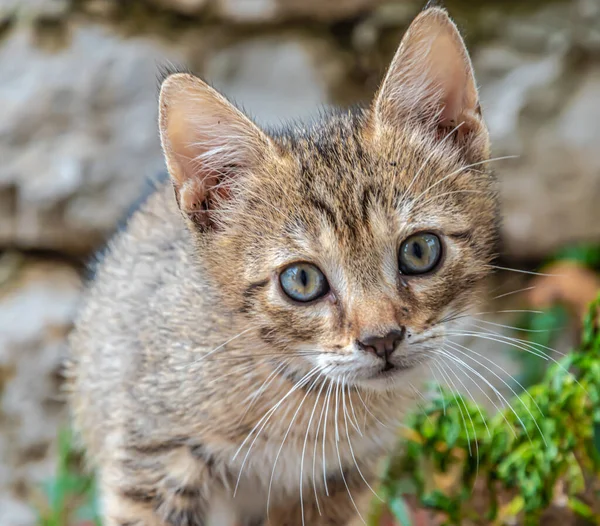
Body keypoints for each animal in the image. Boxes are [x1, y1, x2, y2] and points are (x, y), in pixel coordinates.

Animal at [67, 5, 496, 526]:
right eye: (302, 279)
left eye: (419, 251)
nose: (382, 340)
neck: (311, 402)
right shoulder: (151, 457)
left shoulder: (342, 481)